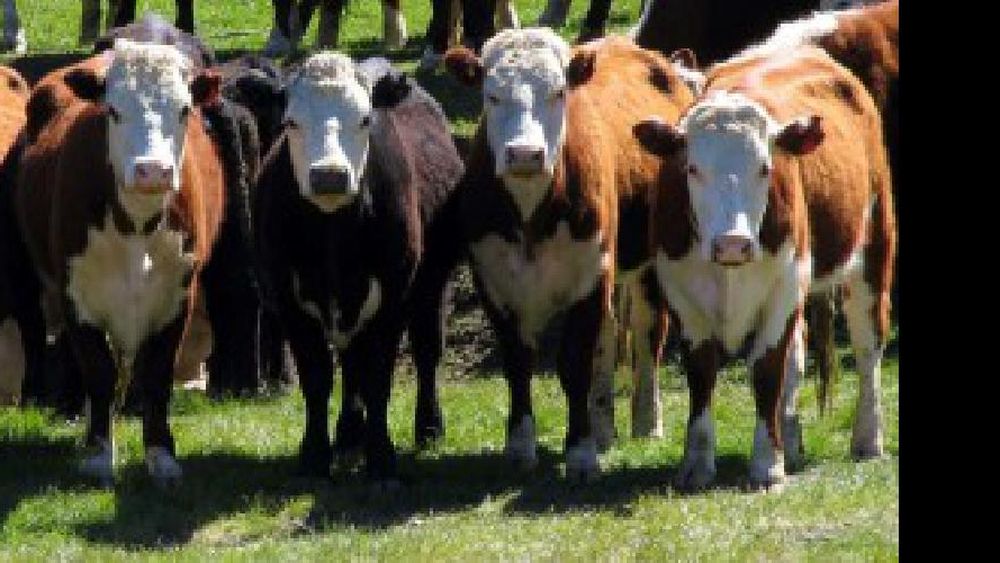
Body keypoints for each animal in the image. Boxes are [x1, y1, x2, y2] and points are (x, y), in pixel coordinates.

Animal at [14, 40, 226, 486]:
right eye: (113, 110)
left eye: (183, 109)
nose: (153, 170)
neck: (137, 225)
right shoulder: (76, 295)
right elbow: (98, 372)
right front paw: (99, 454)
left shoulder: (178, 296)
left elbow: (158, 376)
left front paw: (161, 455)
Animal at [254, 53, 464, 484]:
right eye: (290, 121)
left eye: (365, 119)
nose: (329, 175)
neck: (333, 231)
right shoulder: (289, 303)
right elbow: (317, 380)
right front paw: (314, 456)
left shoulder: (393, 300)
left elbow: (378, 379)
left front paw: (381, 460)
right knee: (351, 365)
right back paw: (349, 434)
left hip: (432, 285)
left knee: (427, 352)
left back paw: (428, 426)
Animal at [633, 44, 895, 489]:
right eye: (692, 168)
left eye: (765, 168)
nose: (733, 243)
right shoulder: (682, 295)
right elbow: (702, 373)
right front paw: (696, 463)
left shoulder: (784, 288)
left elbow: (767, 371)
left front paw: (767, 465)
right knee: (799, 358)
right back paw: (790, 438)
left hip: (873, 250)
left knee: (867, 345)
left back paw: (867, 438)